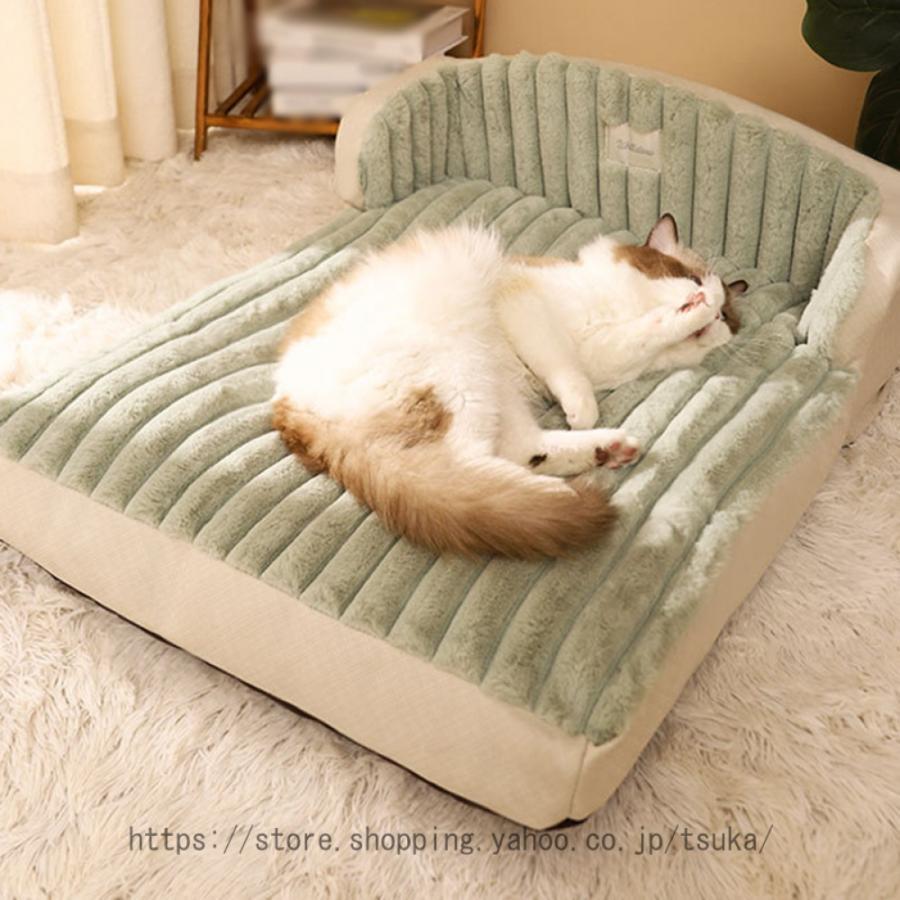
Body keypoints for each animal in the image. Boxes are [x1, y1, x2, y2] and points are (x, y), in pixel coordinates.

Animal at [272, 214, 747, 559]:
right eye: (694, 281)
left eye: (728, 319)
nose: (715, 310)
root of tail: (286, 406)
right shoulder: (524, 303)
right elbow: (573, 362)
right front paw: (584, 405)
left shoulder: (612, 355)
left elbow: (640, 337)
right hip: (461, 372)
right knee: (463, 470)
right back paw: (551, 495)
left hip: (490, 389)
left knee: (518, 453)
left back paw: (602, 457)